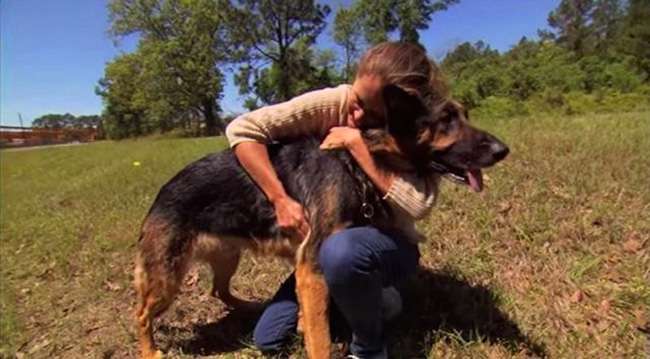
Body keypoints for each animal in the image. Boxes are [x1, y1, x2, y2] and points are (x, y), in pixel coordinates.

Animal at [133, 86, 506, 358]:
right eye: (446, 120)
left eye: (465, 116)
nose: (503, 150)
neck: (354, 164)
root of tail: (162, 192)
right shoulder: (311, 268)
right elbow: (320, 339)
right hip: (168, 279)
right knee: (141, 314)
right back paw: (150, 351)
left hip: (227, 257)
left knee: (218, 289)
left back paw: (252, 306)